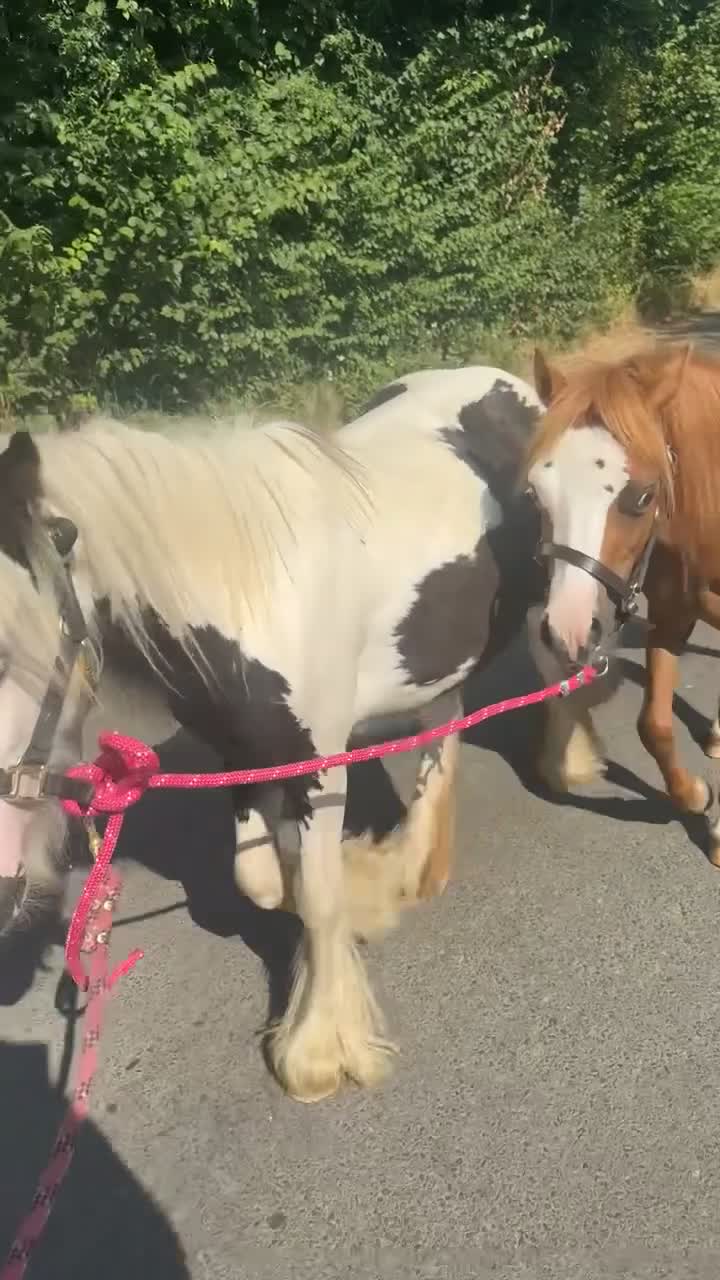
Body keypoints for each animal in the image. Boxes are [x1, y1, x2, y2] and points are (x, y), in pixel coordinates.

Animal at [0, 363, 565, 1103]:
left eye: (7, 651)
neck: (246, 593)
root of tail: (502, 378)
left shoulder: (319, 764)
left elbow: (318, 898)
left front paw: (321, 1048)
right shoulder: (240, 754)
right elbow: (264, 882)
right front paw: (354, 906)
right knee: (441, 731)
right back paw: (415, 866)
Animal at [525, 339, 720, 865]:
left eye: (643, 497)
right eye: (535, 493)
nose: (567, 632)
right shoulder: (671, 618)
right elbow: (653, 725)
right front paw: (699, 801)